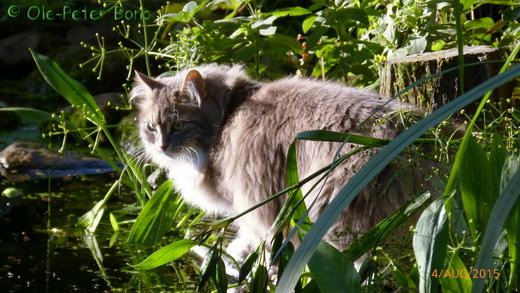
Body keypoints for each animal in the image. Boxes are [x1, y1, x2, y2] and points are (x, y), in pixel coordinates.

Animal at [131, 65, 430, 262]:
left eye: (178, 125)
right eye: (151, 127)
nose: (161, 147)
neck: (228, 114)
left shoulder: (248, 199)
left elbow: (251, 233)